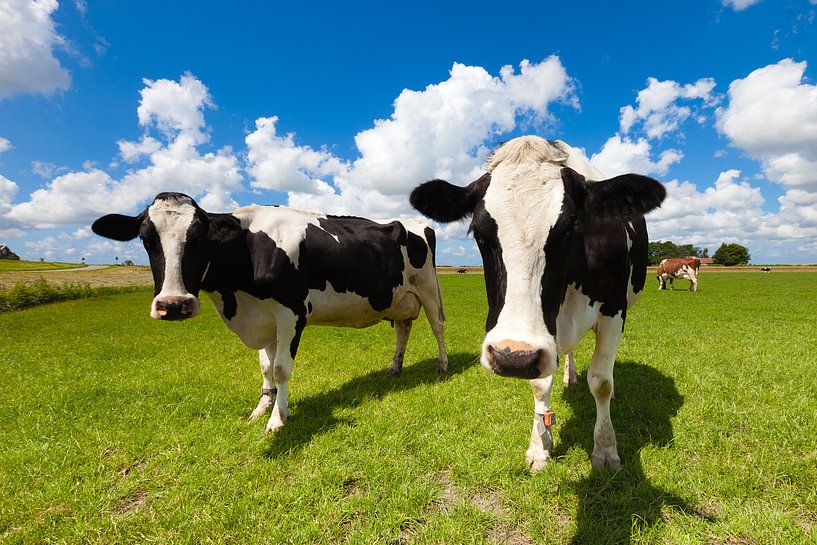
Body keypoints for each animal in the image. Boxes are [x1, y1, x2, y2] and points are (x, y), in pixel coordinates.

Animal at [92, 193, 450, 432]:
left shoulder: (292, 313)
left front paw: (278, 418)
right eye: (145, 238)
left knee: (437, 327)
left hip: (429, 289)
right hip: (400, 297)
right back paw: (394, 368)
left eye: (199, 237)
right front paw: (262, 407)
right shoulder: (262, 319)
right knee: (403, 329)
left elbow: (280, 369)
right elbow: (265, 367)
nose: (174, 304)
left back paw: (443, 366)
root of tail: (417, 223)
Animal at [412, 135, 668, 468]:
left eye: (571, 229)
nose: (512, 358)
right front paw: (539, 447)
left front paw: (605, 449)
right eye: (479, 233)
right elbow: (539, 383)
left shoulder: (614, 310)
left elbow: (601, 380)